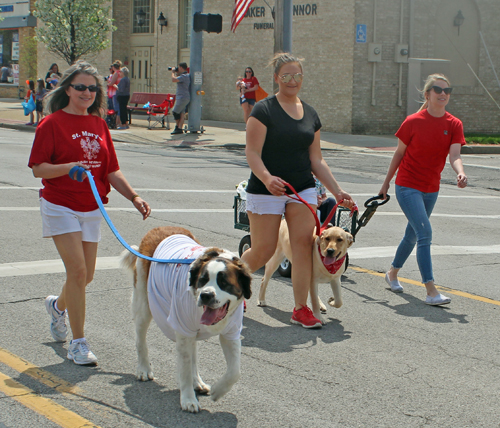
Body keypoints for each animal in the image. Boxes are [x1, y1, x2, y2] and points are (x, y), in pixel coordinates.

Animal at [120, 226, 252, 412]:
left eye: (224, 283)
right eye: (202, 280)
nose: (206, 295)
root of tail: (159, 228)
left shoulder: (231, 333)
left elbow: (234, 372)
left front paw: (217, 391)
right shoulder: (182, 327)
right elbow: (184, 369)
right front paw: (188, 399)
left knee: (193, 354)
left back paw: (198, 382)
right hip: (144, 303)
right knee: (141, 338)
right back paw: (144, 369)